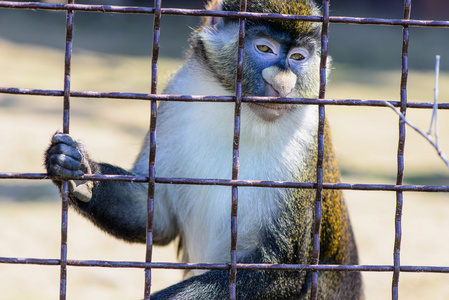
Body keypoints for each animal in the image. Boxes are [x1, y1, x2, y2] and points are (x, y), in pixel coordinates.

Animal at [44, 0, 360, 298]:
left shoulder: (309, 141)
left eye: (298, 57)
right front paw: (73, 164)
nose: (282, 86)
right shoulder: (177, 97)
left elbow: (280, 270)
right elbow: (153, 214)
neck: (241, 116)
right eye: (264, 48)